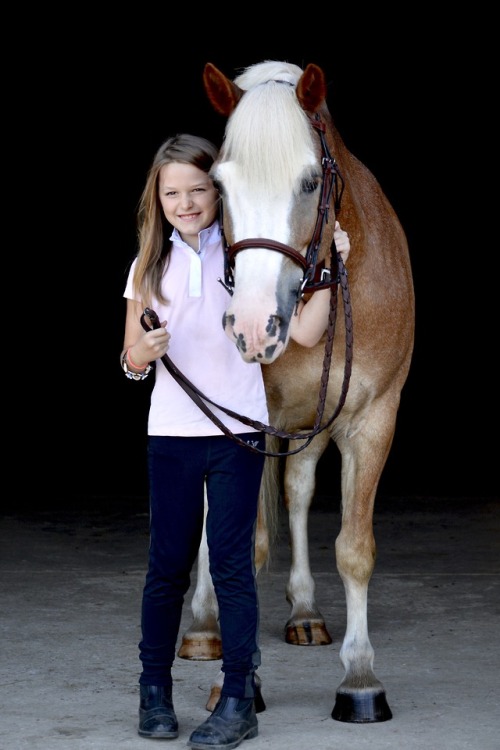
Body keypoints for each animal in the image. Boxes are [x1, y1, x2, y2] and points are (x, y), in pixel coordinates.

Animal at [180, 61, 414, 724]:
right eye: (218, 186)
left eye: (311, 181)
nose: (253, 325)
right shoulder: (250, 426)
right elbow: (246, 545)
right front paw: (242, 683)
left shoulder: (373, 419)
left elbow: (353, 547)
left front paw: (360, 679)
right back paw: (203, 624)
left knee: (300, 489)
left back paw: (305, 612)